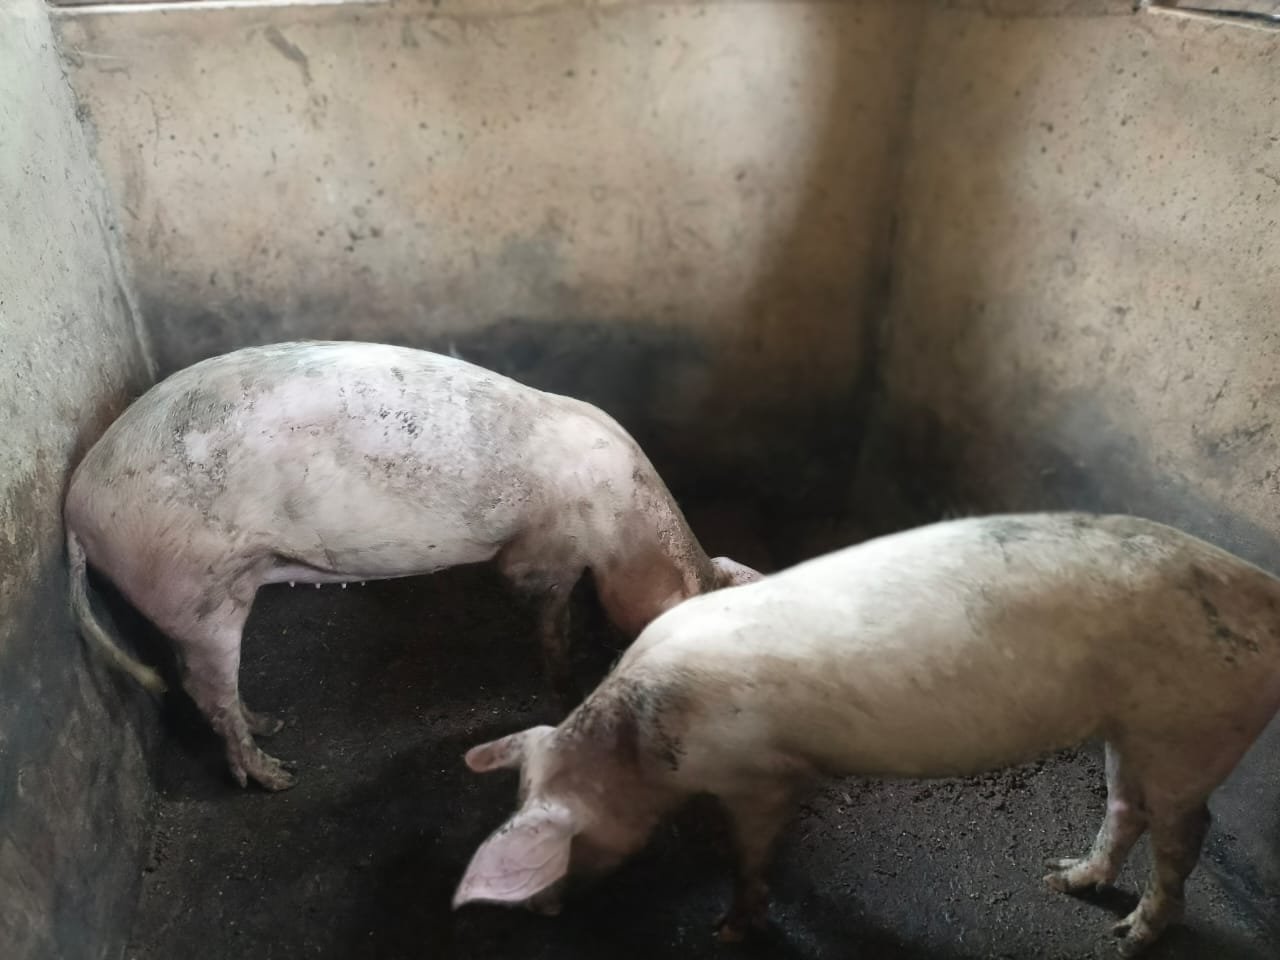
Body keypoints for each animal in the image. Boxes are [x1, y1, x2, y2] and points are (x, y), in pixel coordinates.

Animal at [64, 340, 761, 791]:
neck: (627, 526)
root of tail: (77, 506)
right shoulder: (544, 549)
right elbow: (546, 609)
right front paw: (565, 681)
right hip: (193, 588)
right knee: (201, 689)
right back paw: (277, 777)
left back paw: (274, 724)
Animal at [453, 512, 1280, 956]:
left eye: (566, 842)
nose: (538, 914)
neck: (643, 742)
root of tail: (1264, 588)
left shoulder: (760, 775)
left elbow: (752, 855)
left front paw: (730, 931)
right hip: (1131, 724)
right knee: (1125, 808)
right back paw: (1063, 879)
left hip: (1192, 726)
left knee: (1187, 832)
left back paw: (1130, 935)